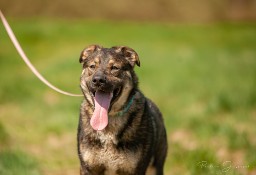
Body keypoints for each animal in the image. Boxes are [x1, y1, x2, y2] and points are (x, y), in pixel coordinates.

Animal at [77, 45, 167, 175]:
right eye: (92, 66)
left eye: (115, 68)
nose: (98, 80)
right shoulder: (88, 168)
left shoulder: (136, 170)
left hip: (156, 165)